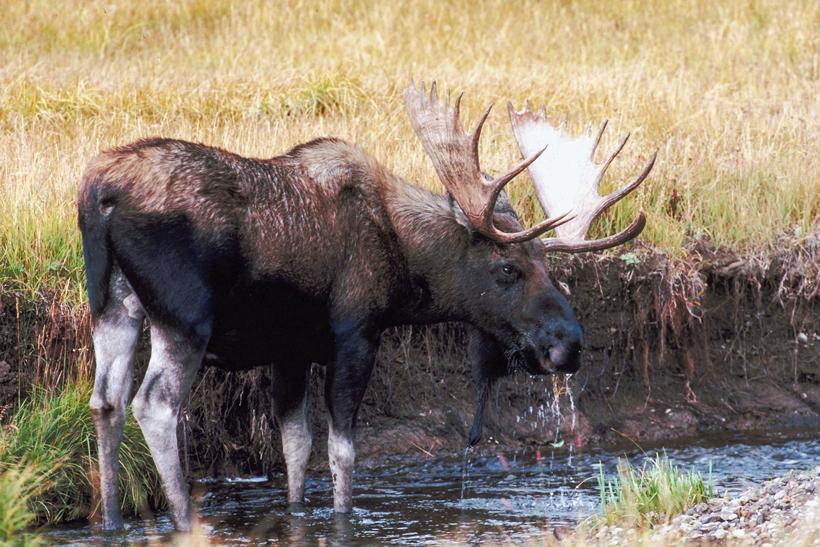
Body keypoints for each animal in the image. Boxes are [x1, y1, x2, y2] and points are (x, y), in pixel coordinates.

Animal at [78, 81, 655, 531]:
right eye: (507, 268)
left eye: (548, 266)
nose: (568, 344)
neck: (403, 260)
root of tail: (97, 192)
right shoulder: (355, 333)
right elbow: (342, 451)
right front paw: (342, 517)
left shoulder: (290, 349)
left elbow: (295, 446)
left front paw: (297, 514)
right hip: (184, 316)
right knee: (154, 404)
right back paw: (184, 521)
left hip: (111, 303)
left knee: (105, 400)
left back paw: (111, 521)